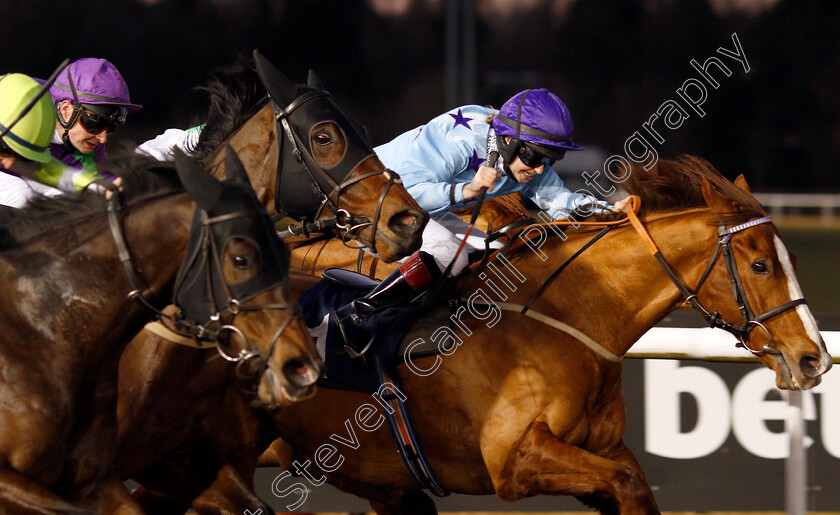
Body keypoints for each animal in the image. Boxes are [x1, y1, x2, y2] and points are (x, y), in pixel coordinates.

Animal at [251, 155, 832, 512]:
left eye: (786, 259)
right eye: (760, 265)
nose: (814, 358)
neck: (562, 317)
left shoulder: (604, 449)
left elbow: (636, 489)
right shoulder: (513, 460)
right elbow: (622, 483)